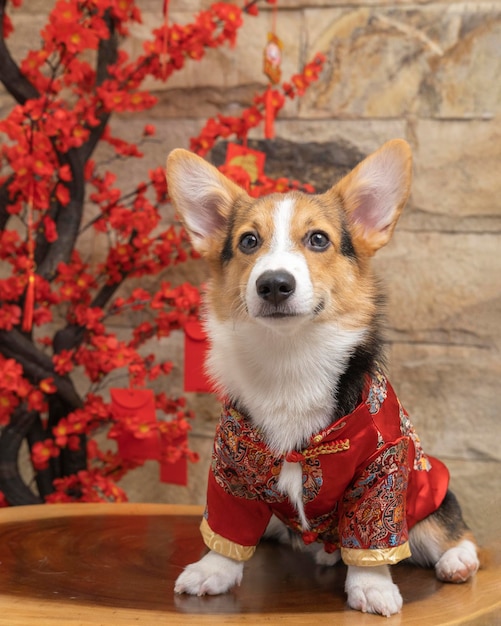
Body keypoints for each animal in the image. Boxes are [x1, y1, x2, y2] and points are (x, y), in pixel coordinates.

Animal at [166, 140, 478, 616]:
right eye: (248, 241)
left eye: (318, 239)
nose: (274, 284)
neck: (289, 358)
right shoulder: (230, 467)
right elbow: (227, 531)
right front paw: (212, 571)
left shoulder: (383, 465)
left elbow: (372, 537)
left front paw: (372, 587)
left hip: (427, 487)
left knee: (442, 527)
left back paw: (458, 559)